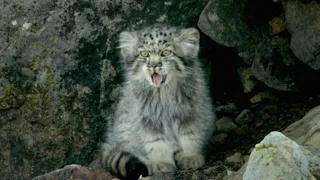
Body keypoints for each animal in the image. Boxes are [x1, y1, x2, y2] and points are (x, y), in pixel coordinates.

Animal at [102, 24, 218, 180]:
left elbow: (190, 135)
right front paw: (162, 163)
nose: (153, 65)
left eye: (166, 52)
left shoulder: (191, 112)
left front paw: (190, 156)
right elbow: (156, 143)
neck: (163, 95)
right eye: (144, 54)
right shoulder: (147, 119)